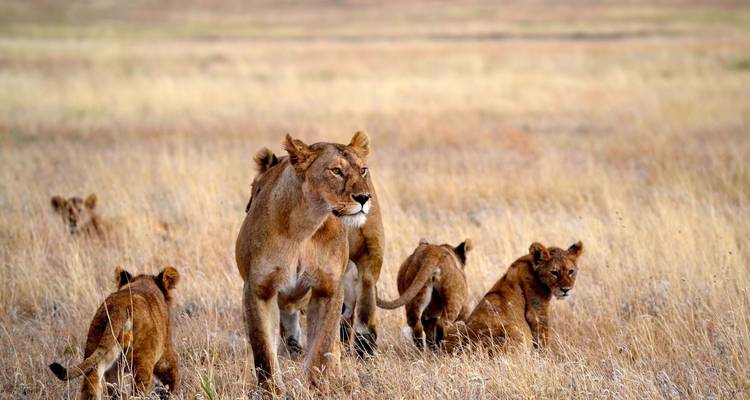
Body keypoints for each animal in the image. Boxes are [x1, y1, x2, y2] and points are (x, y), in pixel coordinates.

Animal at [49, 266, 181, 399]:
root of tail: (119, 307)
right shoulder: (165, 354)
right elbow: (170, 377)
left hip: (98, 350)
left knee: (95, 385)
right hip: (143, 360)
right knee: (137, 391)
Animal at [236, 132, 373, 394]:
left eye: (363, 170)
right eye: (336, 171)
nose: (364, 198)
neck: (305, 226)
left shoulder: (328, 288)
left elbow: (322, 347)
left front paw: (315, 387)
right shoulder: (258, 288)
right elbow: (263, 349)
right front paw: (271, 391)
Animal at [442, 241, 583, 354]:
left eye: (571, 271)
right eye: (554, 272)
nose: (566, 290)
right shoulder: (537, 312)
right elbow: (542, 339)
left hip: (455, 325)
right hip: (514, 330)